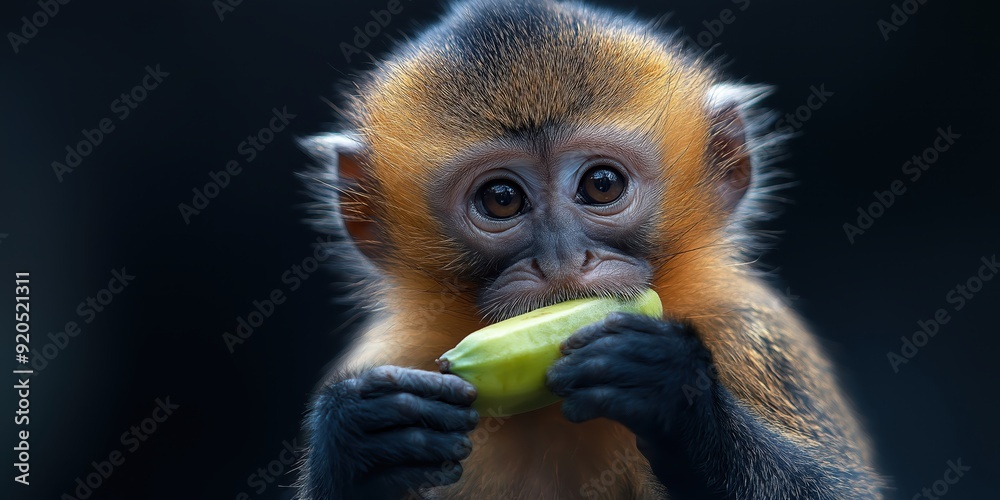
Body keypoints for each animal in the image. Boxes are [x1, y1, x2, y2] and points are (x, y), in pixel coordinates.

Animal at [295, 0, 882, 498]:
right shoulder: (397, 357)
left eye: (601, 185)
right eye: (502, 199)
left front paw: (677, 394)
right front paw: (357, 443)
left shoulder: (745, 331)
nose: (562, 261)